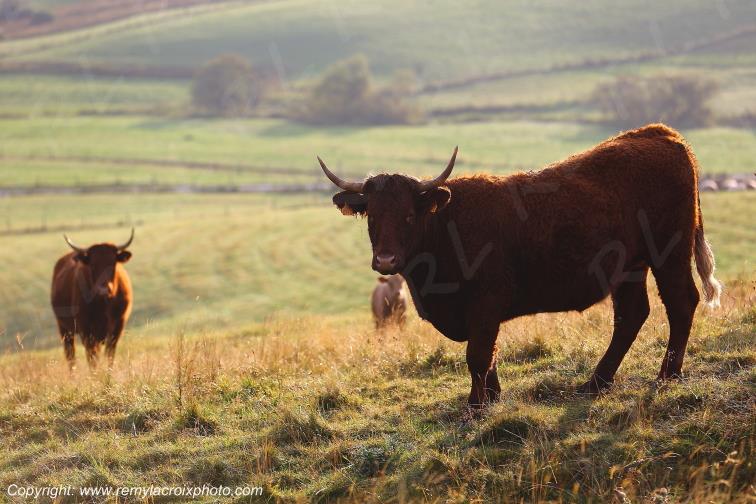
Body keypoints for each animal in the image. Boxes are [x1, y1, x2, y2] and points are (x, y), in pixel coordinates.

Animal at [50, 229, 134, 370]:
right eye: (93, 265)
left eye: (113, 263)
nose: (103, 290)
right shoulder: (86, 331)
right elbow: (92, 359)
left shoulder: (117, 328)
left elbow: (109, 356)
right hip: (64, 328)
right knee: (70, 356)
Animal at [318, 124, 722, 408]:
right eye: (372, 216)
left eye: (407, 215)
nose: (386, 260)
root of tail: (661, 134)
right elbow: (489, 356)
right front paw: (492, 398)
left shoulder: (485, 302)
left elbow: (478, 355)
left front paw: (475, 407)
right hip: (629, 268)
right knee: (631, 315)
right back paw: (596, 382)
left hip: (669, 253)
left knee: (680, 303)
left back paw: (667, 375)